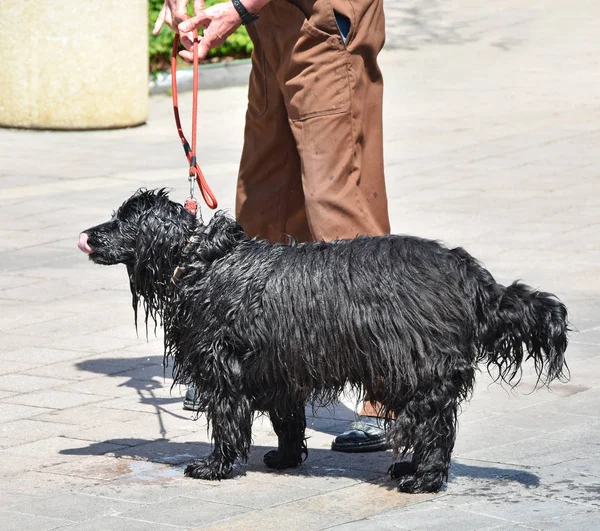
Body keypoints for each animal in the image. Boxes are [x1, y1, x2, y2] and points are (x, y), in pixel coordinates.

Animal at [77, 189, 568, 492]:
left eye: (123, 220)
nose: (87, 234)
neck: (200, 260)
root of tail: (469, 275)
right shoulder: (279, 370)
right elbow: (288, 421)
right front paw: (285, 458)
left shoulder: (225, 368)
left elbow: (227, 422)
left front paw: (214, 467)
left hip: (415, 368)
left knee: (433, 428)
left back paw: (421, 479)